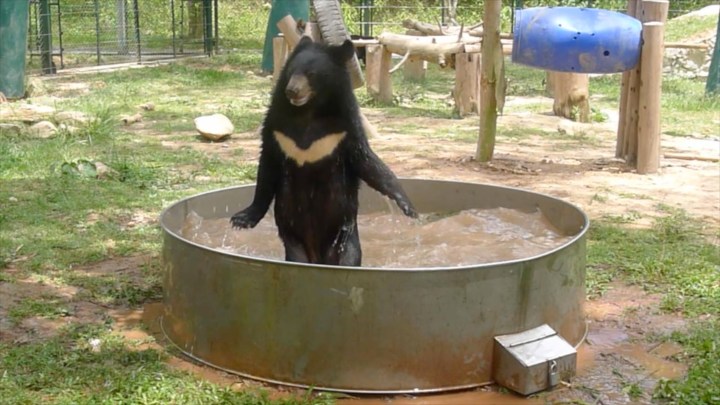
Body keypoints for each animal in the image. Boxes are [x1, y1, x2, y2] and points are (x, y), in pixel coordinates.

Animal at [230, 36, 417, 267]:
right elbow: (266, 171)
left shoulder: (345, 129)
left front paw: (409, 209)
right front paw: (240, 219)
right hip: (293, 237)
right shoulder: (277, 130)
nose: (292, 90)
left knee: (349, 257)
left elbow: (369, 163)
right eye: (291, 71)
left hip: (343, 235)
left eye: (311, 74)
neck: (308, 112)